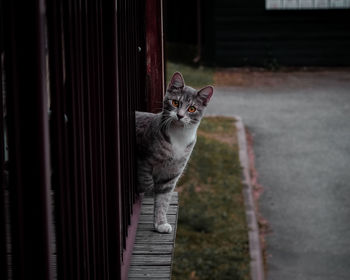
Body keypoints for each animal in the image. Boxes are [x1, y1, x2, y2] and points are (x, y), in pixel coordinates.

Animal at [136, 71, 213, 233]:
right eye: (175, 103)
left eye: (192, 109)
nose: (180, 115)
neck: (179, 136)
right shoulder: (144, 158)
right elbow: (146, 180)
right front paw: (147, 190)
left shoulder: (171, 174)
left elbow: (163, 201)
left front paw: (160, 223)